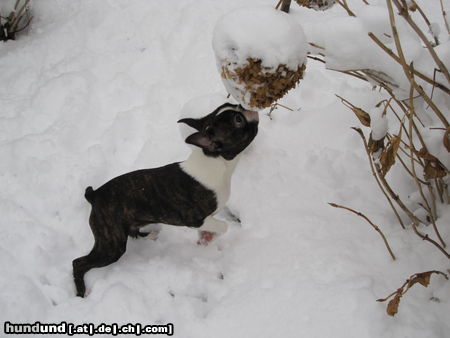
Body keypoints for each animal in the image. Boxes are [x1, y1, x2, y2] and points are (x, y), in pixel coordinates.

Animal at [72, 102, 258, 296]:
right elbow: (223, 226)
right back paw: (81, 292)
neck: (214, 161)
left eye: (231, 106)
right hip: (112, 246)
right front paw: (210, 237)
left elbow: (211, 227)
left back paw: (150, 235)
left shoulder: (207, 218)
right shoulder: (194, 219)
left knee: (133, 233)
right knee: (78, 263)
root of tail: (94, 195)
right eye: (238, 120)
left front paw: (206, 238)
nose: (243, 106)